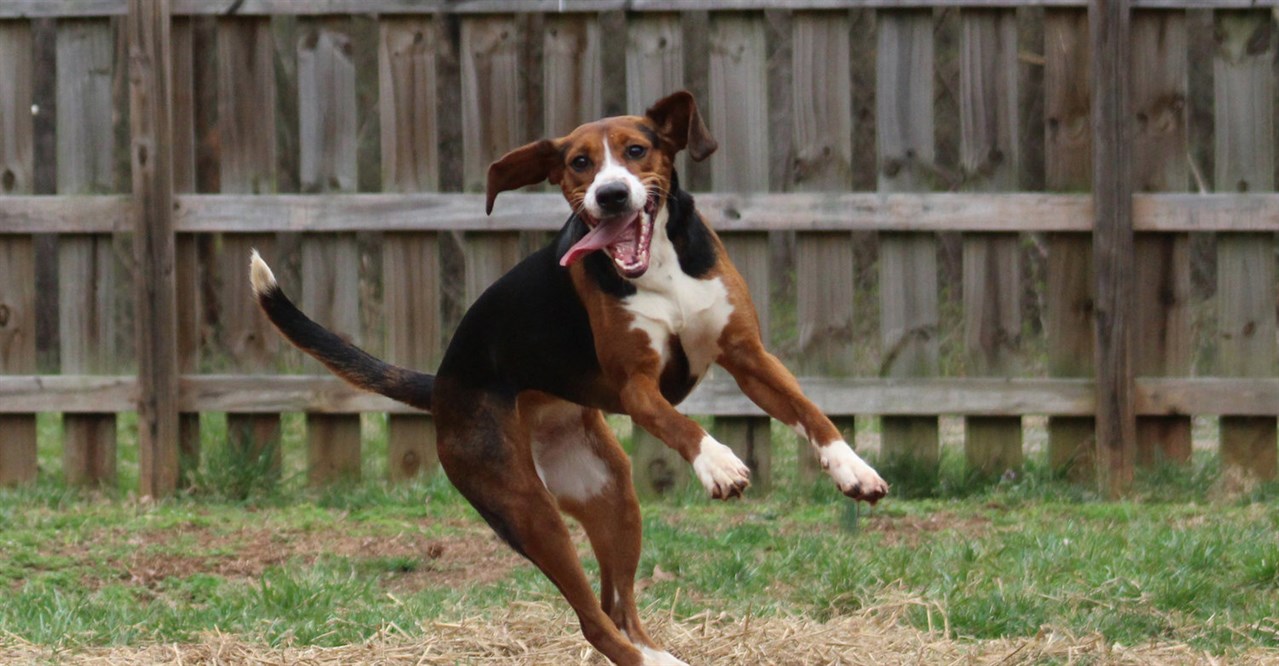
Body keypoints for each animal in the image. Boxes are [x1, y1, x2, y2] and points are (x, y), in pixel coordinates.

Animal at [249, 89, 890, 664]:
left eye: (636, 150)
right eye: (579, 162)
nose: (611, 194)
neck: (660, 266)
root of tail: (443, 382)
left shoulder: (748, 356)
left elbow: (809, 411)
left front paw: (853, 469)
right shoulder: (638, 389)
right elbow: (682, 426)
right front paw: (717, 462)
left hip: (610, 493)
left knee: (618, 606)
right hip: (530, 513)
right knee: (594, 623)